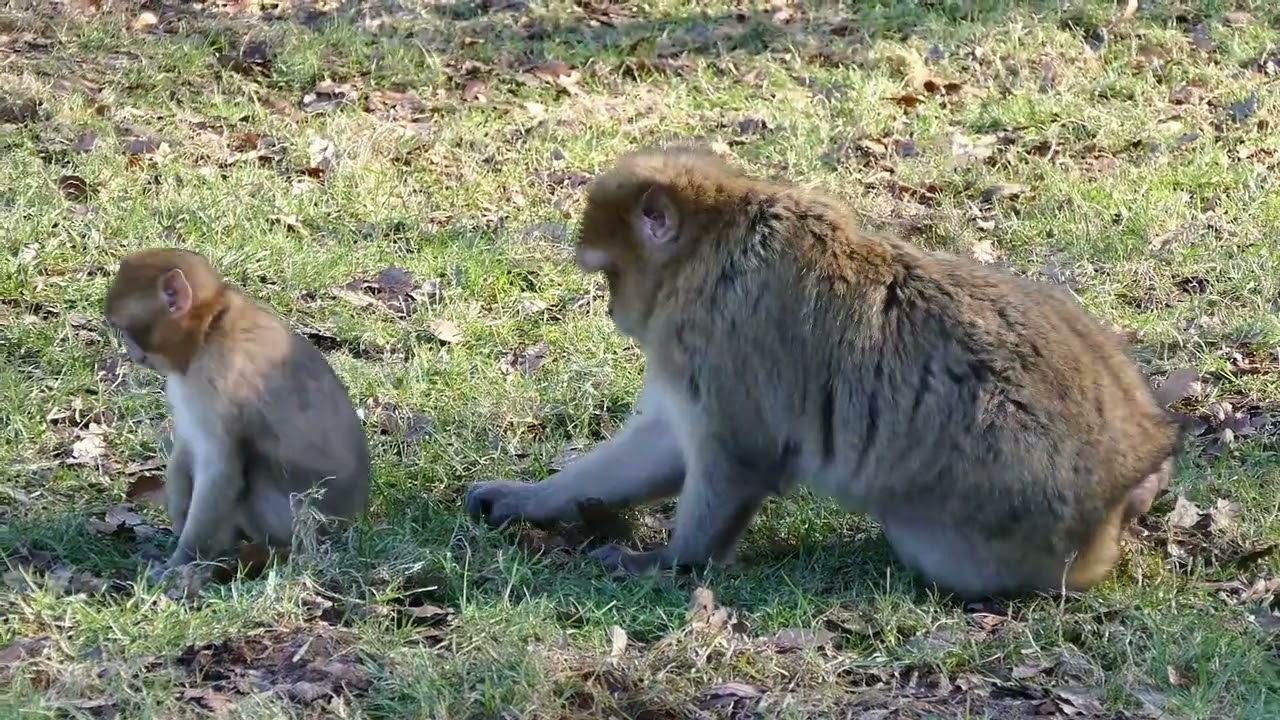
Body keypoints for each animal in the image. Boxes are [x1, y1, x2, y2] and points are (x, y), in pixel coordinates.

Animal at [103, 248, 372, 581]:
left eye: (122, 330)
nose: (129, 352)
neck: (209, 329)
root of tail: (356, 519)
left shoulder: (218, 380)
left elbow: (221, 471)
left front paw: (180, 563)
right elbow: (189, 445)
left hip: (301, 523)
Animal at [464, 146, 1184, 600]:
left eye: (608, 274)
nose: (614, 310)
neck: (708, 247)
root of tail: (1132, 466)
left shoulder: (720, 335)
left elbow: (736, 456)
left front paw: (669, 562)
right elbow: (659, 448)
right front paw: (530, 498)